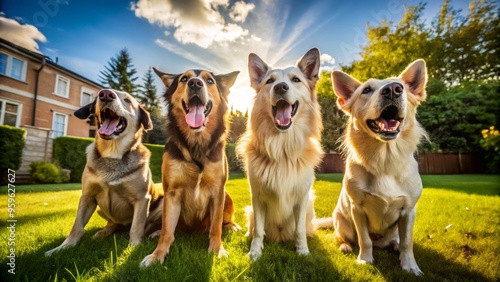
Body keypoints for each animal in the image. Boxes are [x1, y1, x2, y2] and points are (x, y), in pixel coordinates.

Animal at [44, 89, 162, 256]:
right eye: (99, 96)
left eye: (128, 100)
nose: (105, 94)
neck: (112, 154)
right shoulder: (87, 196)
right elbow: (77, 227)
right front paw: (63, 247)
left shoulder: (142, 199)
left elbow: (136, 228)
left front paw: (133, 247)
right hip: (101, 211)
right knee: (112, 224)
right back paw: (102, 233)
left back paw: (155, 233)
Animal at [140, 67, 241, 266]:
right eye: (184, 79)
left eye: (209, 81)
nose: (195, 83)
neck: (196, 143)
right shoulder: (171, 192)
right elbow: (167, 231)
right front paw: (157, 255)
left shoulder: (218, 190)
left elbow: (216, 227)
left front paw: (217, 250)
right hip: (162, 202)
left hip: (227, 195)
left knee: (223, 222)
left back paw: (232, 226)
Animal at [237, 48, 324, 260]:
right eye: (270, 81)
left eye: (296, 80)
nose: (280, 88)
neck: (282, 147)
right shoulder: (257, 197)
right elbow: (259, 231)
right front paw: (255, 252)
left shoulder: (302, 198)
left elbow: (300, 230)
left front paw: (302, 251)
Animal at [328, 60, 430, 276]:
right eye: (366, 90)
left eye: (401, 87)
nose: (392, 89)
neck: (385, 159)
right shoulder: (357, 209)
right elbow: (364, 240)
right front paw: (365, 260)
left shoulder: (409, 211)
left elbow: (408, 243)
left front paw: (410, 266)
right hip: (341, 221)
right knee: (343, 237)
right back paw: (346, 246)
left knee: (397, 240)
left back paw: (395, 246)